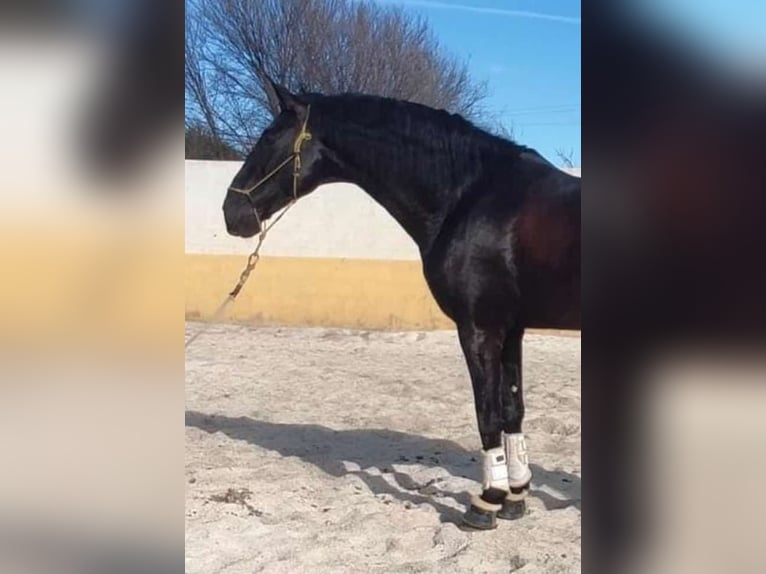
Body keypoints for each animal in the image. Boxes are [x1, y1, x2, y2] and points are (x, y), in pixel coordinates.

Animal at [222, 80, 584, 532]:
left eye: (270, 138)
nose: (231, 212)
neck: (468, 196)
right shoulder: (509, 328)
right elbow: (511, 409)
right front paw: (516, 496)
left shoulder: (478, 328)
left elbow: (487, 413)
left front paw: (487, 502)